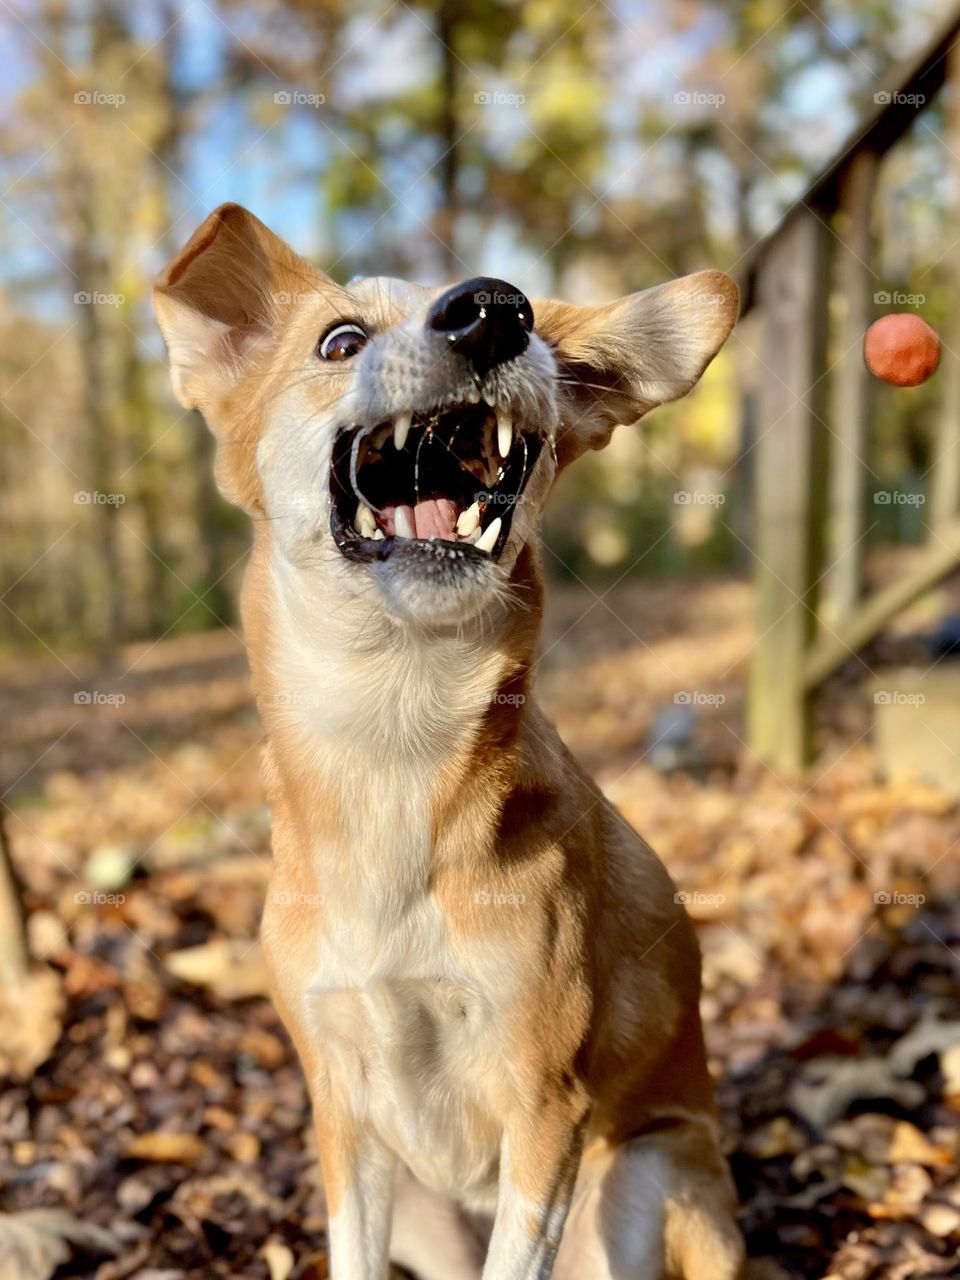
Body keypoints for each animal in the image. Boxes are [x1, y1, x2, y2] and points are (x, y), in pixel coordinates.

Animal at [156, 207, 742, 1280]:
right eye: (340, 341)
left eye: (531, 326)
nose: (493, 309)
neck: (393, 741)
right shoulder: (342, 1108)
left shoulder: (546, 1106)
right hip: (422, 1203)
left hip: (647, 1172)